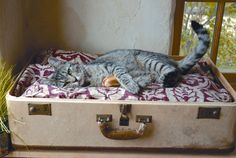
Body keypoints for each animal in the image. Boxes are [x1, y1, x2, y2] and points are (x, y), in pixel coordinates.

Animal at [45, 20, 210, 93]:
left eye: (69, 71)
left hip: (149, 60)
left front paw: (131, 85)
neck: (90, 78)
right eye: (64, 83)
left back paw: (168, 80)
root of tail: (172, 60)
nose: (74, 79)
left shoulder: (113, 66)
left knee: (174, 71)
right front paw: (138, 83)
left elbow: (123, 75)